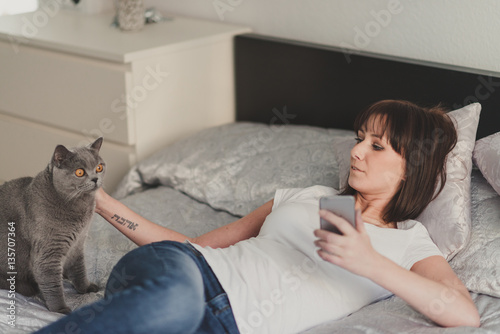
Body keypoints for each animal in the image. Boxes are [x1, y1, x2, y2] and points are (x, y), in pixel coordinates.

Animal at [0, 136, 104, 314]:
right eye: (80, 172)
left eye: (99, 167)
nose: (95, 179)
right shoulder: (48, 252)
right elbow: (53, 285)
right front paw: (60, 310)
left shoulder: (77, 244)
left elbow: (79, 269)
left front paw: (85, 288)